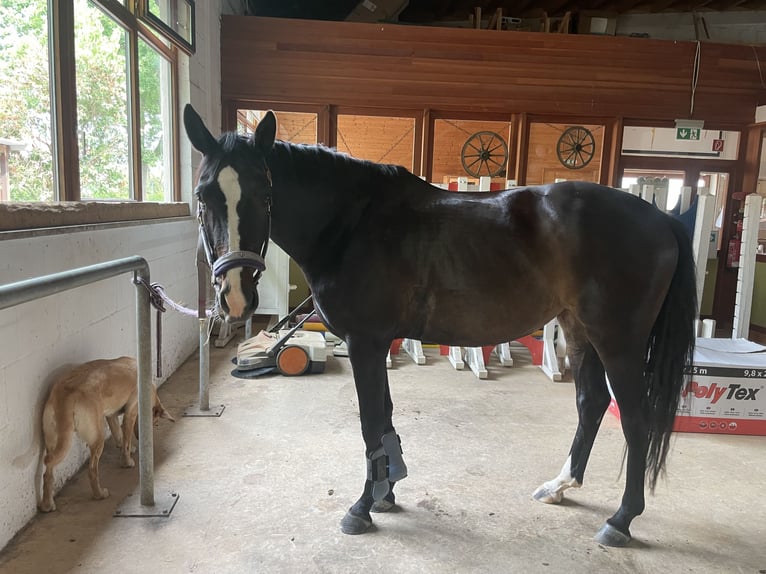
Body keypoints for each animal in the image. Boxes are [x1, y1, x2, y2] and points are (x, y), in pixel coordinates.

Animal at [39, 358, 174, 516]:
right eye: (155, 422)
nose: (143, 438)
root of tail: (67, 394)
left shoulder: (111, 415)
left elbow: (119, 437)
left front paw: (128, 450)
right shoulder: (130, 414)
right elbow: (126, 440)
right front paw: (127, 461)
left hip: (52, 441)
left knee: (47, 473)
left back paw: (47, 505)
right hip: (98, 438)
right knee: (92, 470)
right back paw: (99, 494)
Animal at [184, 104, 696, 548]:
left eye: (264, 195)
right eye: (203, 195)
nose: (234, 297)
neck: (353, 223)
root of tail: (662, 218)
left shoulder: (366, 342)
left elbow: (371, 424)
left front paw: (361, 508)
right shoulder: (377, 343)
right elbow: (385, 419)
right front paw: (385, 494)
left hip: (618, 341)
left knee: (635, 418)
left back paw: (621, 520)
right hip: (579, 330)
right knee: (592, 403)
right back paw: (560, 486)